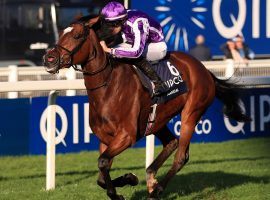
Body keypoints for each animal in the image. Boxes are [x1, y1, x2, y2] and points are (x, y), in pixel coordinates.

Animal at [43, 16, 249, 199]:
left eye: (77, 35)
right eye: (60, 34)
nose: (49, 58)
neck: (107, 87)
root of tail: (204, 69)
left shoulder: (126, 136)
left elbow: (102, 162)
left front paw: (120, 191)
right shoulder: (105, 138)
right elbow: (102, 173)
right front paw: (129, 179)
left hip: (191, 113)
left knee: (181, 156)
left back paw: (156, 191)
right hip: (158, 119)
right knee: (171, 142)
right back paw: (151, 178)